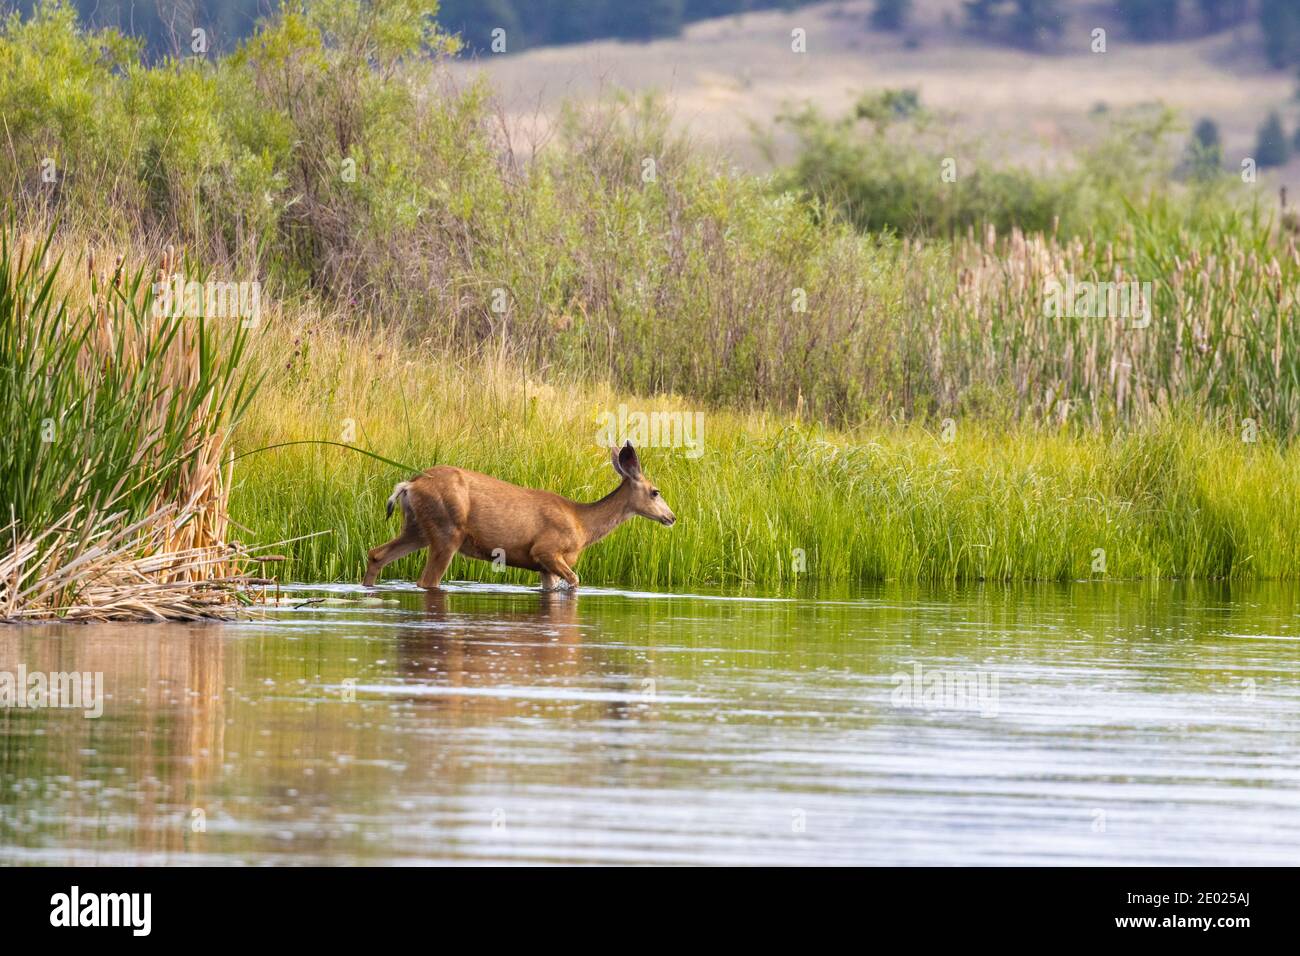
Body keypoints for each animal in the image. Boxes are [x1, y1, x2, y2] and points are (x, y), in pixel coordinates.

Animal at [361, 442, 676, 590]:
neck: (583, 525)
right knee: (427, 581)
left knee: (377, 554)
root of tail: (409, 485)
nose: (671, 517)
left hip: (417, 528)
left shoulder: (545, 567)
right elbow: (575, 581)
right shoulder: (546, 549)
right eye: (655, 492)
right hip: (447, 529)